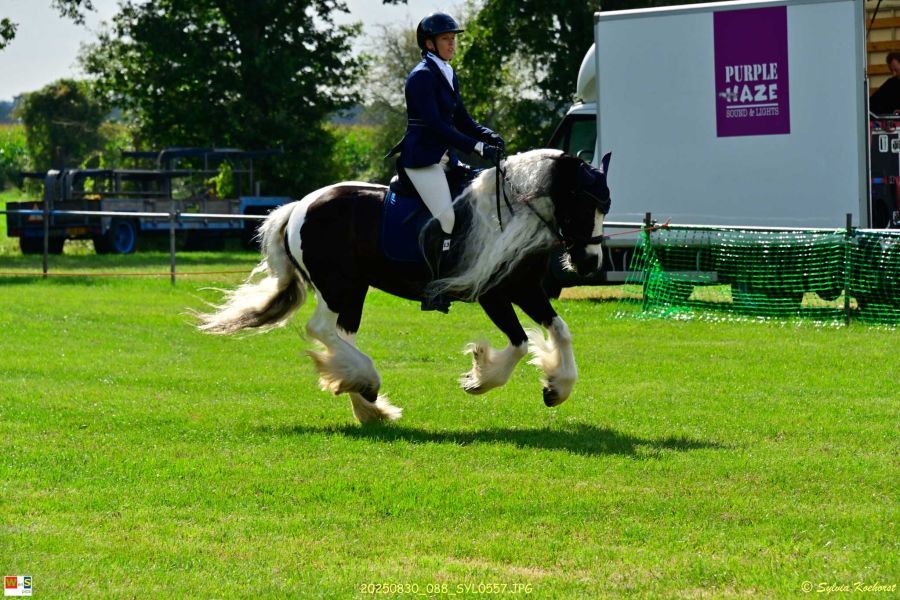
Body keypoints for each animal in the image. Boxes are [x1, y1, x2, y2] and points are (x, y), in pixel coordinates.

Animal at [196, 149, 612, 423]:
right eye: (583, 201)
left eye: (605, 205)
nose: (590, 263)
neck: (511, 212)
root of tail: (299, 206)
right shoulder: (492, 293)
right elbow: (520, 342)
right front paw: (479, 378)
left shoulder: (525, 288)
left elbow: (559, 330)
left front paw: (557, 388)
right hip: (337, 286)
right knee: (320, 329)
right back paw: (368, 384)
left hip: (354, 290)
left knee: (341, 336)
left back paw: (368, 403)